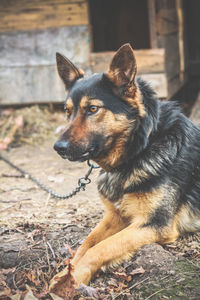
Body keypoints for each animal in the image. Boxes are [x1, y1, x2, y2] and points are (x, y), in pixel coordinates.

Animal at [53, 43, 200, 290]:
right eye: (67, 111)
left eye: (93, 109)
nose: (58, 148)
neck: (142, 147)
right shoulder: (116, 217)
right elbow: (86, 244)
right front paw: (63, 274)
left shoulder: (154, 224)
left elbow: (100, 248)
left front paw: (76, 277)